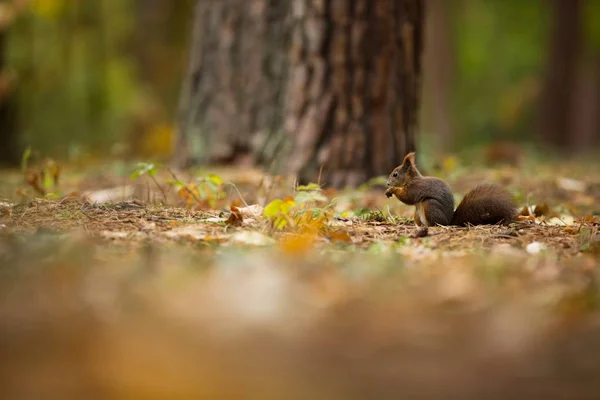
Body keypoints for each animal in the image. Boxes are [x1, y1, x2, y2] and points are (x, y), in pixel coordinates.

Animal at [386, 152, 516, 236]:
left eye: (395, 174)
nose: (387, 183)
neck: (411, 179)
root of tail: (449, 222)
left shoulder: (416, 188)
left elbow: (408, 198)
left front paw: (392, 190)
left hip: (430, 205)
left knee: (435, 223)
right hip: (417, 213)